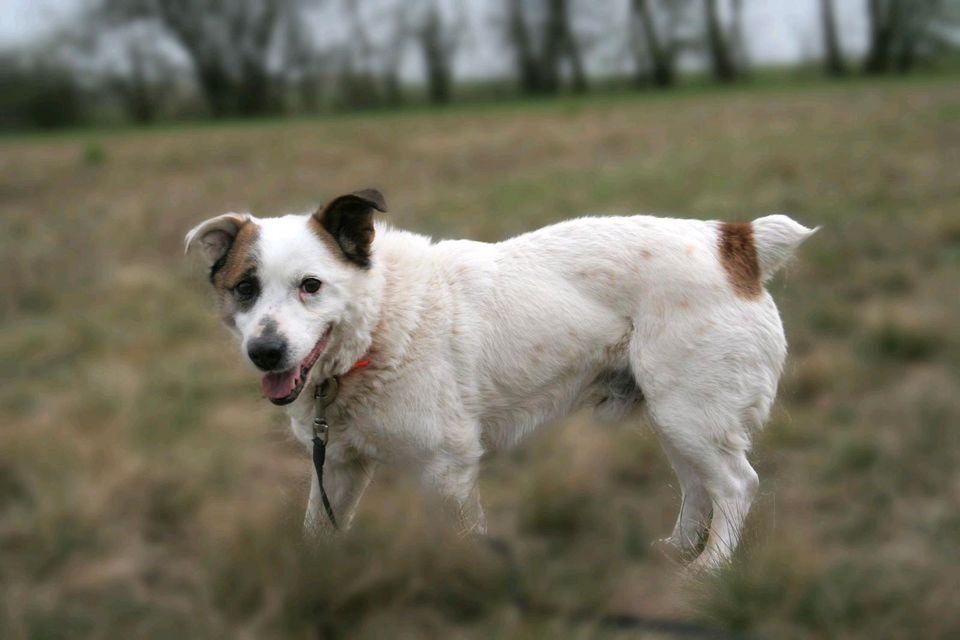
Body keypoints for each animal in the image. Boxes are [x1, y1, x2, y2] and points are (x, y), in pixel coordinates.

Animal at [188, 190, 816, 568]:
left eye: (311, 286)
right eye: (245, 288)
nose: (265, 351)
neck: (382, 320)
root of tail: (736, 243)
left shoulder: (447, 467)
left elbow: (457, 540)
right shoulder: (338, 466)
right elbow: (317, 531)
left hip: (691, 412)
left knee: (735, 485)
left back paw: (710, 566)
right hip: (677, 414)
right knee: (696, 485)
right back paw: (679, 547)